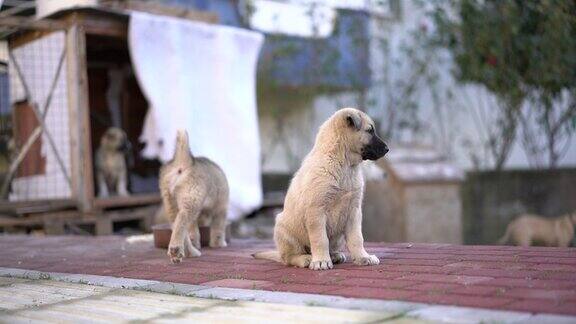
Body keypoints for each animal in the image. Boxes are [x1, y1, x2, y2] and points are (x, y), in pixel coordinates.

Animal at [160, 129, 230, 264]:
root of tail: (184, 161)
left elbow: (193, 231)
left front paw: (196, 242)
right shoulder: (221, 208)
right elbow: (218, 228)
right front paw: (219, 243)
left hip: (171, 202)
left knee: (176, 223)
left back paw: (188, 252)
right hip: (191, 199)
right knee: (182, 219)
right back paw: (177, 249)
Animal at [251, 107, 388, 270]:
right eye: (369, 131)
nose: (387, 149)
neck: (343, 164)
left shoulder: (353, 211)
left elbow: (357, 238)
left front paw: (363, 257)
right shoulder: (316, 210)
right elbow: (320, 239)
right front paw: (321, 261)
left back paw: (334, 255)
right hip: (284, 228)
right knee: (289, 257)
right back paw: (306, 258)